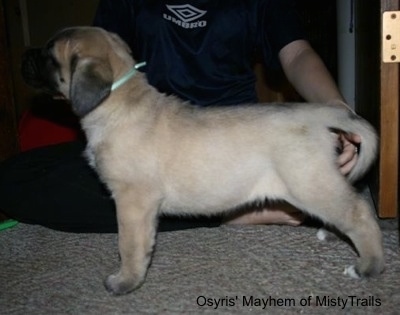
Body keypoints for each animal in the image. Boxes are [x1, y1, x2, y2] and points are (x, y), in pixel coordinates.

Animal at [21, 27, 384, 296]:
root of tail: (322, 116)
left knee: (360, 212)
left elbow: (129, 244)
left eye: (48, 55)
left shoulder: (132, 202)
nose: (26, 53)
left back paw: (368, 266)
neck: (119, 105)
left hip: (309, 183)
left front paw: (125, 281)